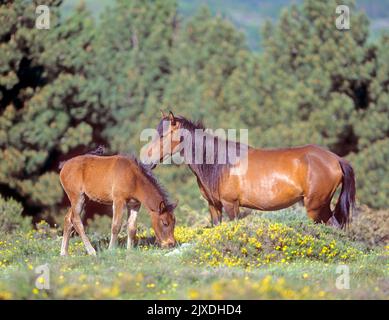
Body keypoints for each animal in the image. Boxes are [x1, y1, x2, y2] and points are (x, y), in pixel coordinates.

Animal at [143, 111, 354, 229]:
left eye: (162, 135)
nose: (145, 160)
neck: (220, 164)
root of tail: (336, 159)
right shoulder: (214, 206)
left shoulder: (231, 205)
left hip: (315, 208)